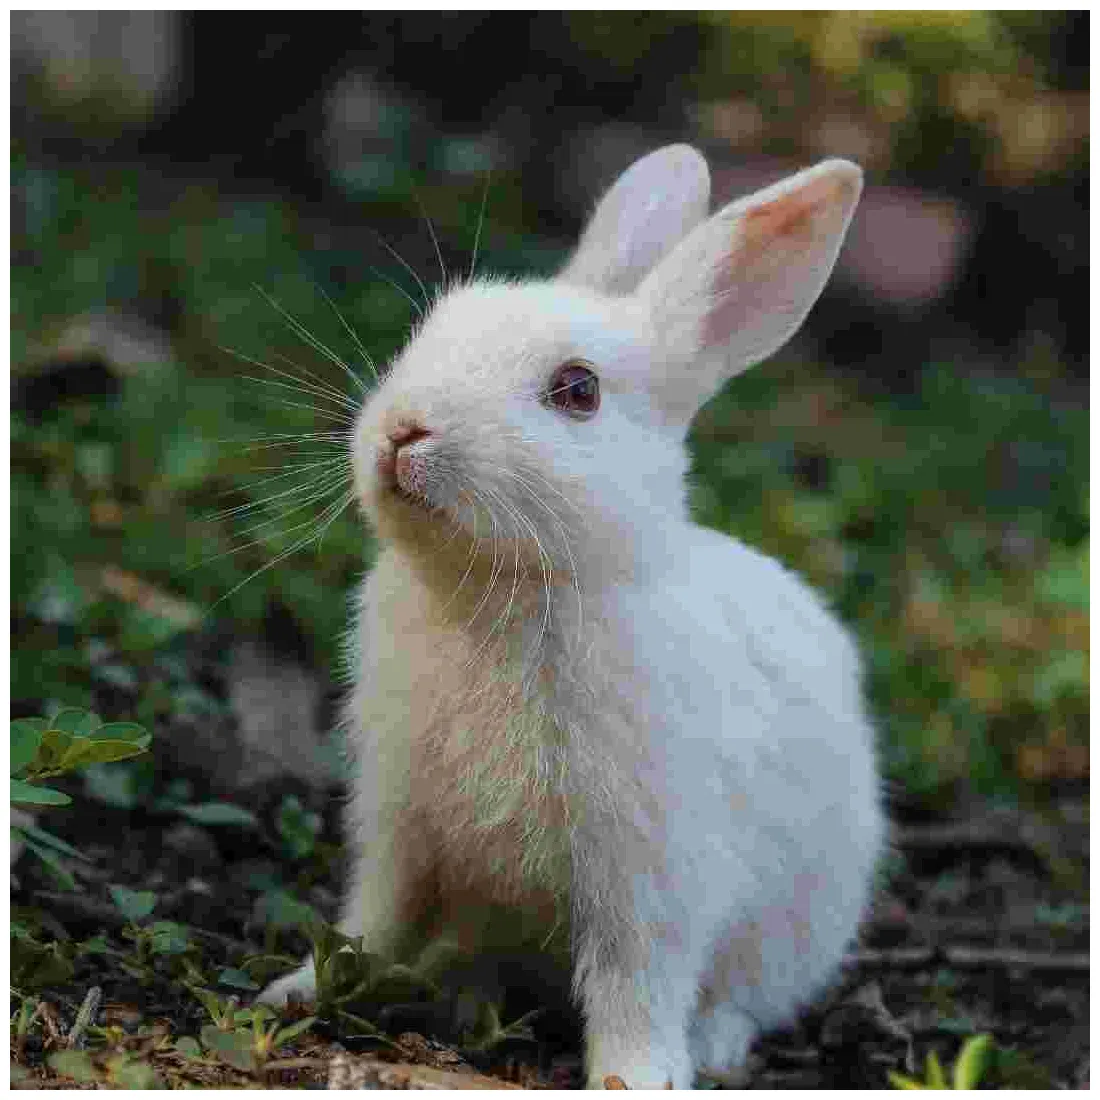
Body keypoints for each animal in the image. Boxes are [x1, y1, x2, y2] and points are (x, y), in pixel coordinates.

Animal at [259, 144, 884, 1089]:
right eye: (431, 330)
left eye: (578, 390)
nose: (404, 431)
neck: (502, 588)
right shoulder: (399, 825)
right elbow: (372, 919)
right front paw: (299, 991)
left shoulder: (648, 874)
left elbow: (637, 988)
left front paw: (638, 1080)